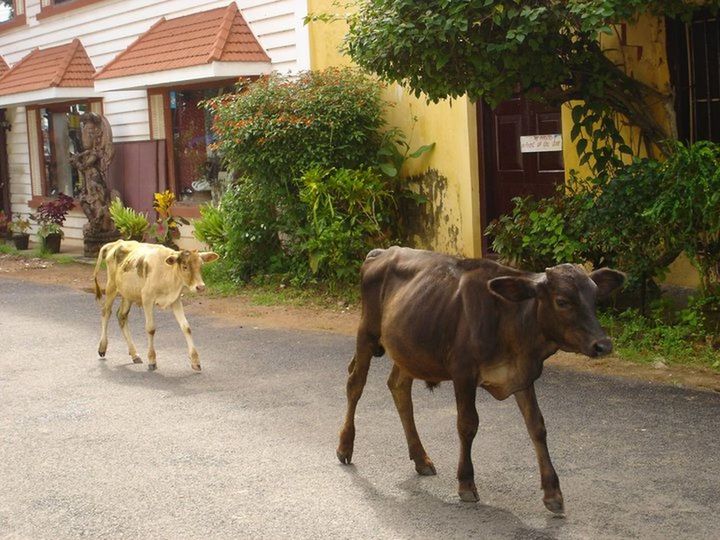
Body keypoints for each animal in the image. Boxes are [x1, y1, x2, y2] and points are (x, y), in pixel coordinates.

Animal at [95, 240, 219, 372]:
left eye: (201, 266)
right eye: (185, 266)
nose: (200, 287)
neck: (168, 273)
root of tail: (117, 242)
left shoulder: (175, 300)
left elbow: (186, 327)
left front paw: (195, 361)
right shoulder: (147, 299)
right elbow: (151, 329)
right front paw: (152, 360)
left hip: (128, 293)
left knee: (121, 316)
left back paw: (134, 354)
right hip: (111, 286)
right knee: (106, 311)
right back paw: (102, 347)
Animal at [338, 247, 624, 512]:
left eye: (595, 298)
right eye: (562, 301)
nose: (603, 344)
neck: (512, 321)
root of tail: (382, 251)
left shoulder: (522, 376)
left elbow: (537, 427)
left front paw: (553, 492)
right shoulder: (463, 373)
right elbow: (467, 424)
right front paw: (466, 483)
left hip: (409, 349)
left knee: (399, 388)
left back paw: (420, 458)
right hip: (367, 333)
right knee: (355, 385)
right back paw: (345, 446)